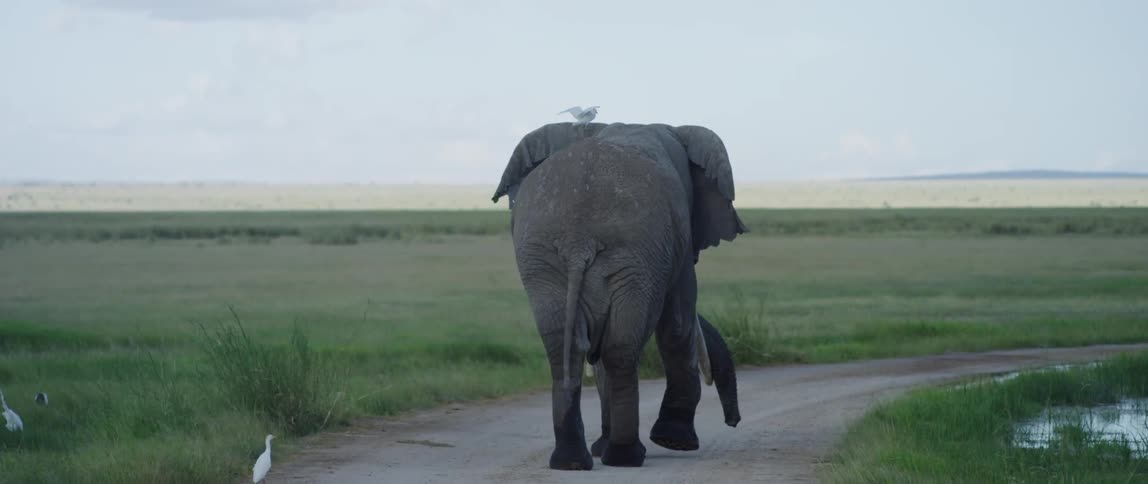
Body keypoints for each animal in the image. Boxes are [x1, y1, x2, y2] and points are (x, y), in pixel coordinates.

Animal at [491, 121, 746, 469]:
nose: (733, 422)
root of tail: (578, 240)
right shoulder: (677, 246)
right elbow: (678, 324)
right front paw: (676, 442)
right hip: (630, 258)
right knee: (620, 348)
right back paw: (625, 456)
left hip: (549, 258)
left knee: (567, 349)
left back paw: (573, 461)